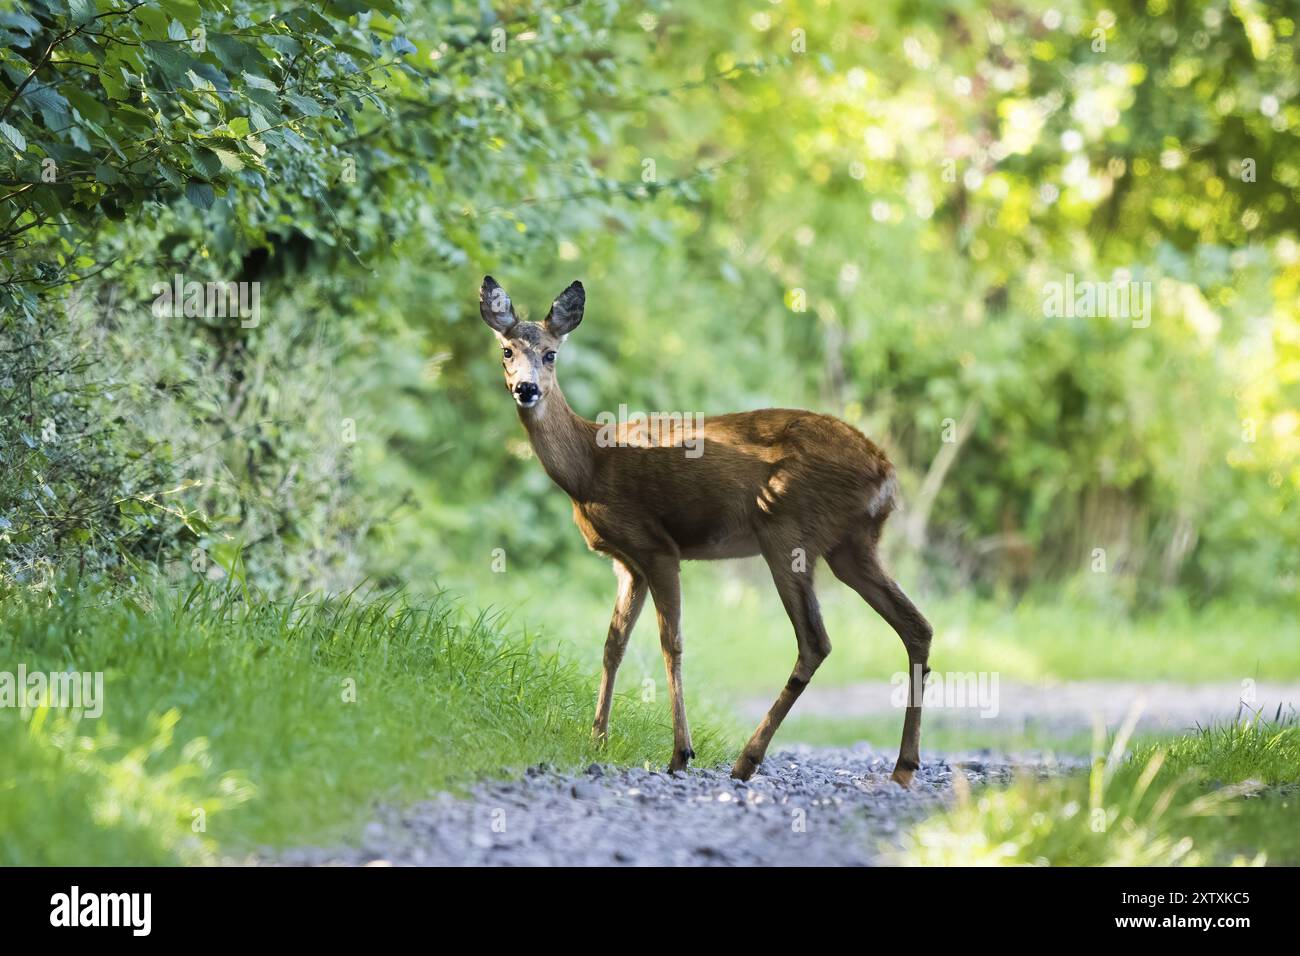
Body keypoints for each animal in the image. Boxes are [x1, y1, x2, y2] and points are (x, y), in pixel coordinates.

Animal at [478, 274, 935, 785]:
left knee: (815, 641)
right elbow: (613, 645)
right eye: (506, 351)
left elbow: (671, 643)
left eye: (551, 353)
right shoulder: (627, 563)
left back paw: (747, 759)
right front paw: (597, 739)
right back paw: (903, 767)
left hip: (787, 529)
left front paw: (680, 753)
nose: (526, 389)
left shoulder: (657, 547)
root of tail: (886, 472)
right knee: (916, 626)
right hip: (852, 546)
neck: (589, 466)